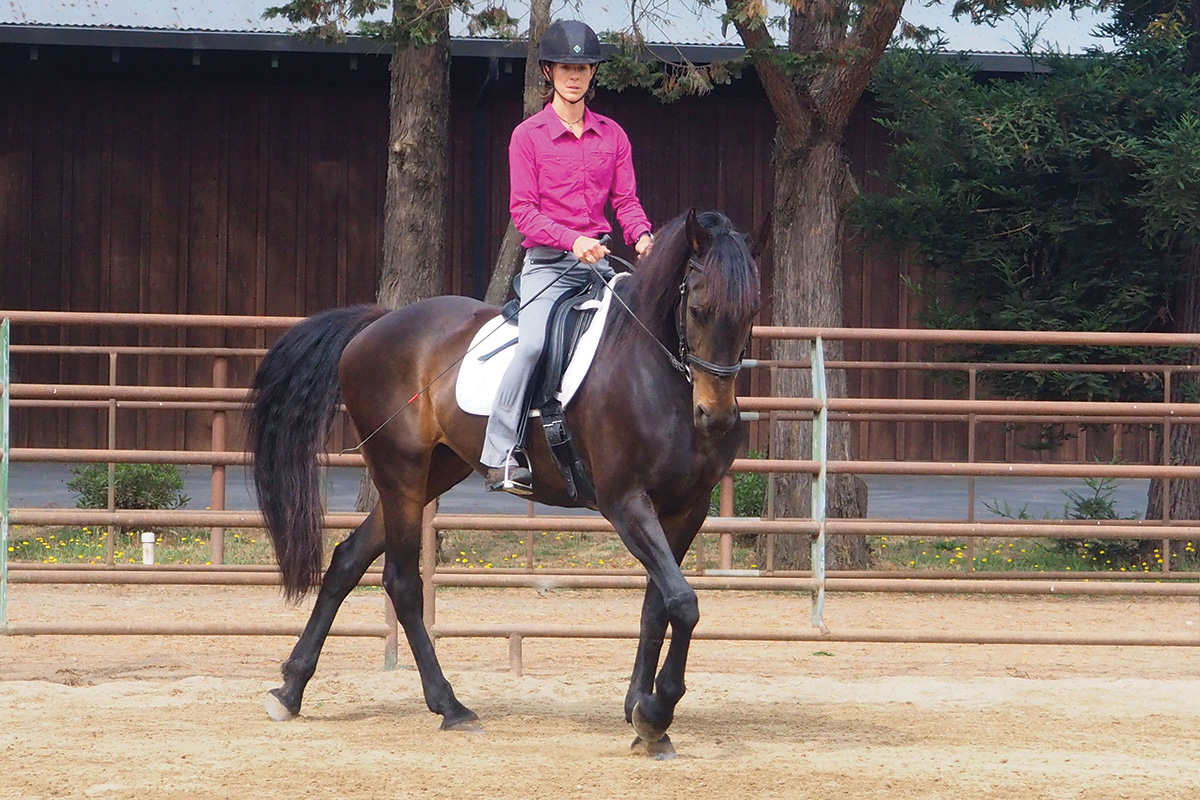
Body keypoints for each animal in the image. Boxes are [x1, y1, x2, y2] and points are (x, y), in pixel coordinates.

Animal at [246, 208, 758, 758]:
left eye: (751, 312)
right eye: (699, 309)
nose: (715, 417)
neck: (653, 370)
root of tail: (377, 323)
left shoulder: (687, 509)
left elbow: (657, 605)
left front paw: (641, 713)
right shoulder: (625, 503)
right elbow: (682, 602)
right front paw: (656, 712)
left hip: (431, 473)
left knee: (347, 561)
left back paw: (290, 689)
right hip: (401, 472)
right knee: (401, 583)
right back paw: (450, 707)